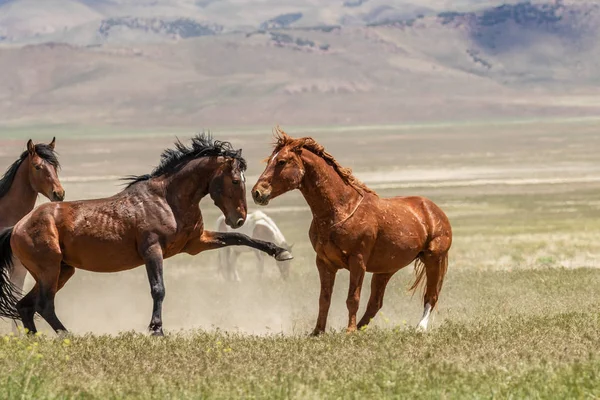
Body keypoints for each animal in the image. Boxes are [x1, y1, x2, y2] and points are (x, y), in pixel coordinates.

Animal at [251, 129, 452, 334]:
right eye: (269, 161)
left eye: (281, 161)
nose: (257, 193)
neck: (341, 208)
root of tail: (434, 210)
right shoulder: (324, 263)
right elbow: (324, 300)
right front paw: (318, 332)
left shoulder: (358, 262)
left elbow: (352, 298)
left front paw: (349, 331)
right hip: (386, 270)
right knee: (375, 304)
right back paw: (362, 328)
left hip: (433, 259)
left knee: (431, 296)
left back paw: (420, 328)